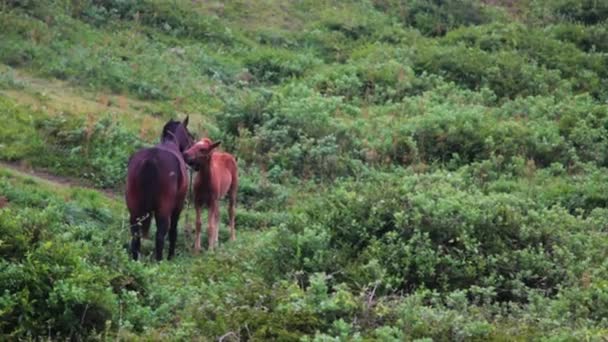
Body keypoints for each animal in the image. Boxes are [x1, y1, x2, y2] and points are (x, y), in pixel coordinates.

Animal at [126, 116, 195, 260]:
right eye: (190, 135)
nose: (190, 157)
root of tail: (151, 160)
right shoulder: (178, 206)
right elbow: (173, 230)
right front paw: (171, 256)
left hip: (134, 207)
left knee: (136, 234)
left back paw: (135, 259)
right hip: (164, 208)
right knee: (160, 235)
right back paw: (160, 260)